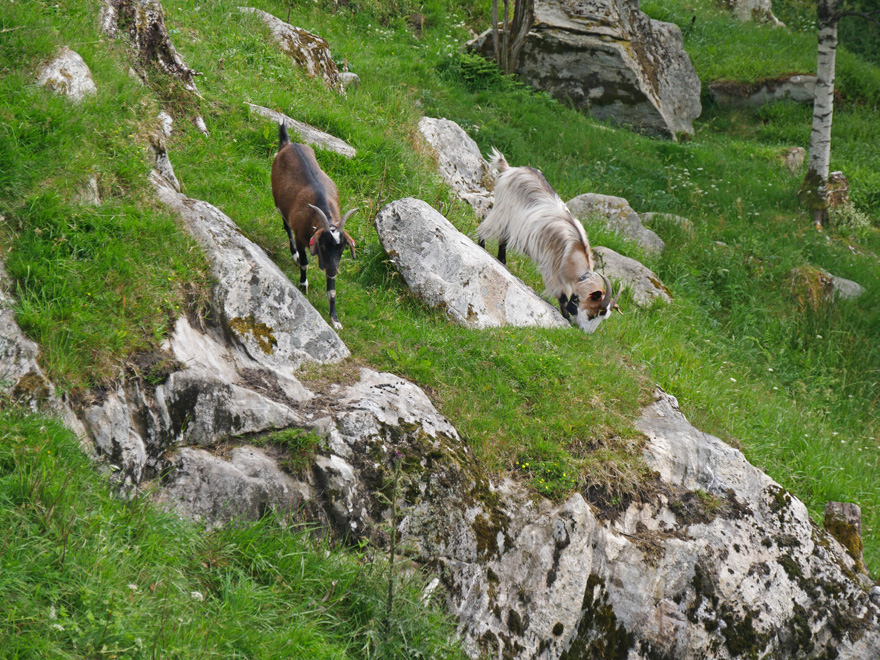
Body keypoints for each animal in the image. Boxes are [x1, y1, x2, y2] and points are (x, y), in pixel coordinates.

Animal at [274, 119, 360, 330]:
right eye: (322, 245)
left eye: (343, 248)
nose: (332, 270)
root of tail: (288, 144)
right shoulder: (301, 237)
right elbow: (305, 262)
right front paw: (303, 286)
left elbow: (332, 291)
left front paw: (335, 320)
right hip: (280, 204)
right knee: (286, 226)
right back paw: (294, 255)